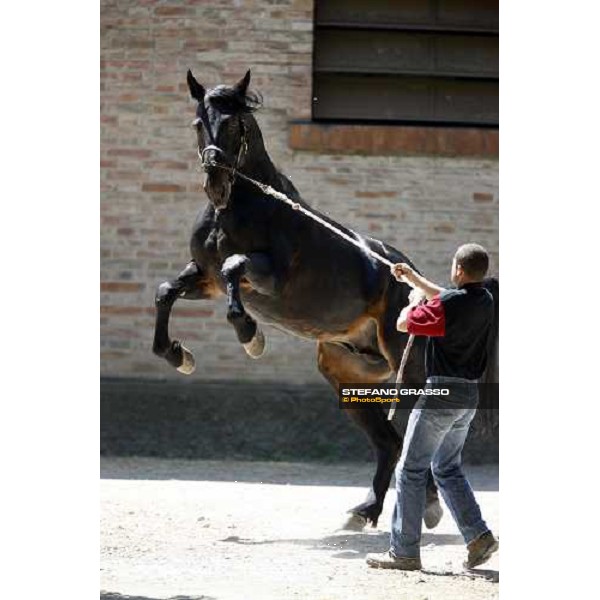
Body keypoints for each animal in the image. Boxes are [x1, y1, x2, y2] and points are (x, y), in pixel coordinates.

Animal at [152, 70, 500, 528]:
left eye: (234, 124)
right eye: (198, 123)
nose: (216, 183)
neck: (240, 208)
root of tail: (429, 291)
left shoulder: (270, 277)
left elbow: (234, 269)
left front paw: (251, 336)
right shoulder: (203, 279)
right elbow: (166, 292)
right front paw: (178, 355)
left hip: (408, 369)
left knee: (416, 429)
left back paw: (424, 505)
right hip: (347, 373)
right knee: (389, 441)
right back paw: (370, 510)